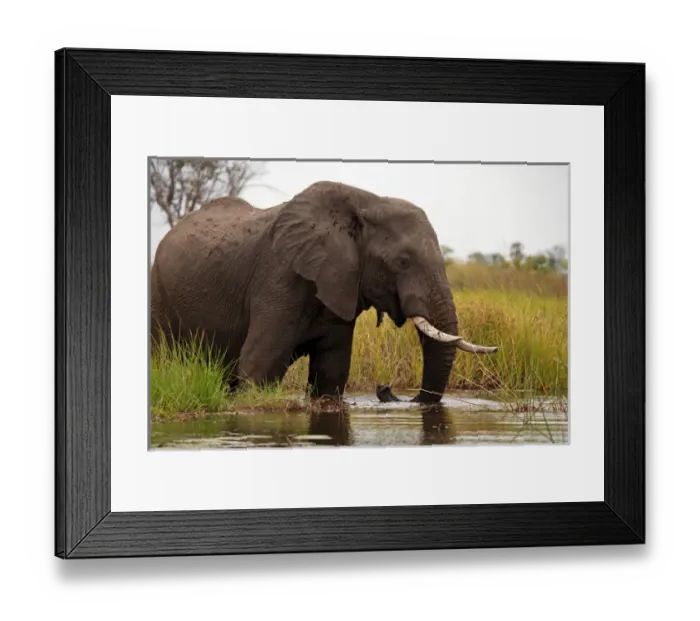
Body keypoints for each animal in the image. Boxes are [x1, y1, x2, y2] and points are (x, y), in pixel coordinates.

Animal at [150, 180, 498, 405]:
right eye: (403, 262)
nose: (384, 389)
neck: (368, 202)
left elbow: (331, 372)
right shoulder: (278, 276)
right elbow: (259, 366)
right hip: (158, 292)